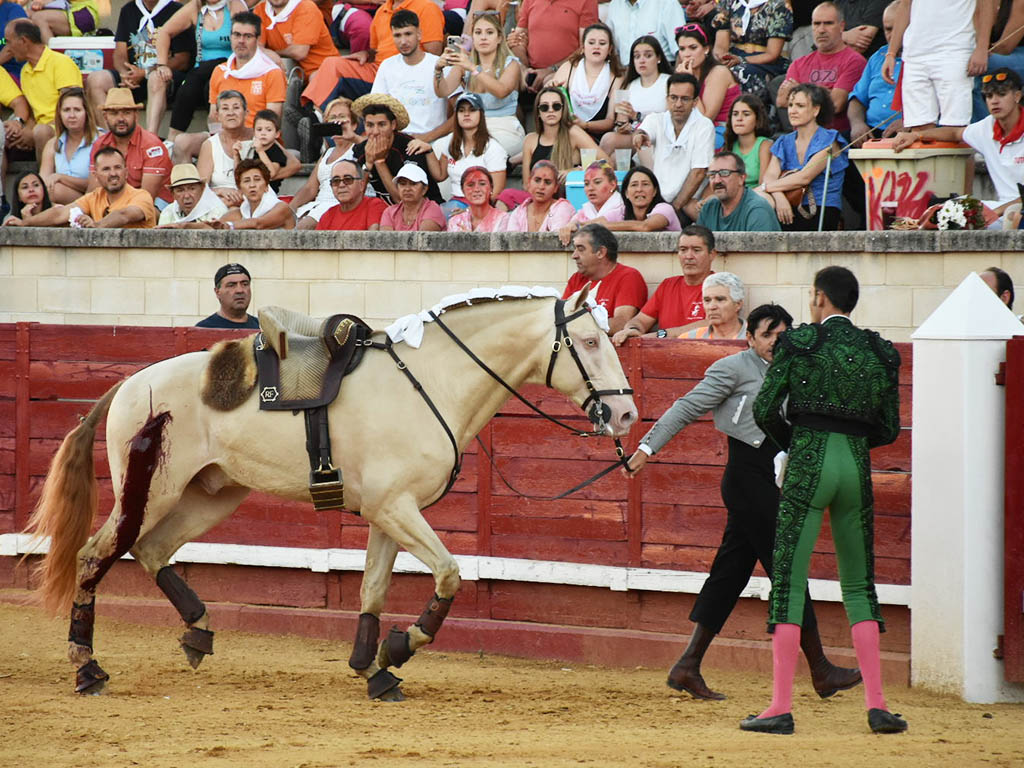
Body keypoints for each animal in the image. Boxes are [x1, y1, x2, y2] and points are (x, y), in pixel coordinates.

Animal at [25, 286, 638, 701]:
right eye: (588, 341)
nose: (628, 414)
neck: (431, 382)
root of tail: (129, 383)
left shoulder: (387, 513)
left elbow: (373, 590)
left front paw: (375, 668)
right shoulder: (396, 509)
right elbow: (449, 573)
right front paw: (398, 649)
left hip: (212, 493)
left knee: (151, 549)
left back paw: (197, 635)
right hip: (151, 490)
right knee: (94, 556)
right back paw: (87, 668)